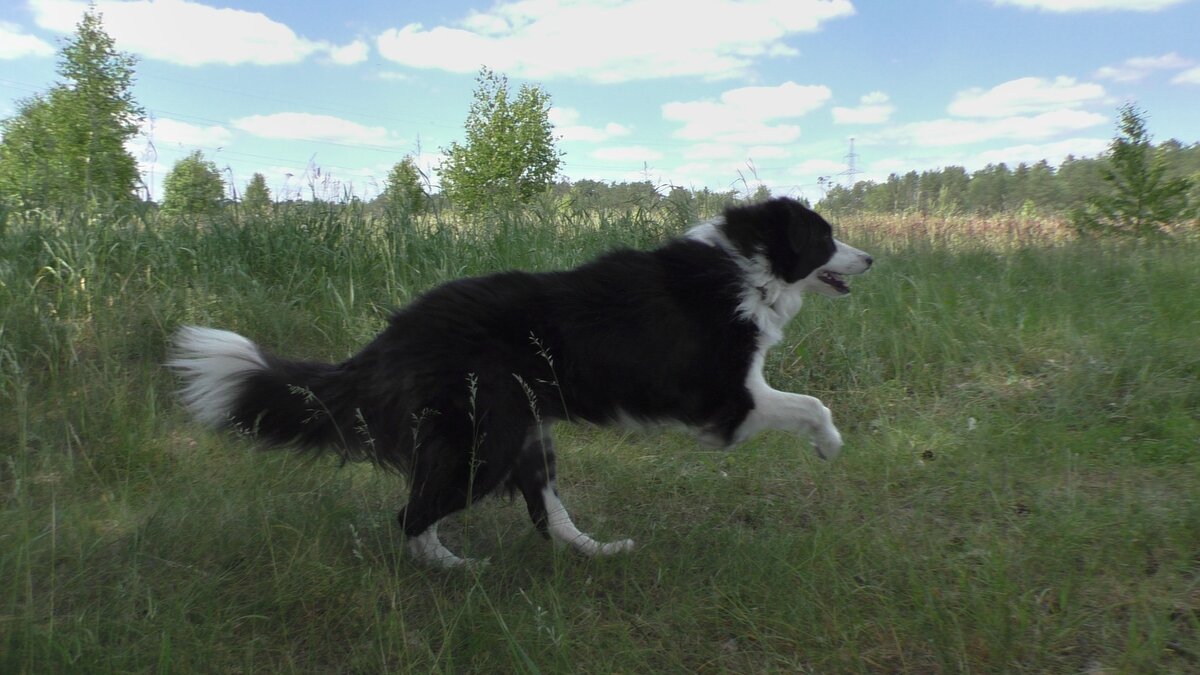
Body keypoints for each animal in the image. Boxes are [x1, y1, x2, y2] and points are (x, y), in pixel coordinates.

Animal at [169, 196, 873, 564]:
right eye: (823, 237)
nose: (872, 258)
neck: (749, 265)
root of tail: (393, 334)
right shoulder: (728, 402)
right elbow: (813, 404)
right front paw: (830, 446)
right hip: (485, 446)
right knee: (410, 516)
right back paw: (457, 571)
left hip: (523, 432)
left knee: (546, 514)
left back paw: (598, 551)